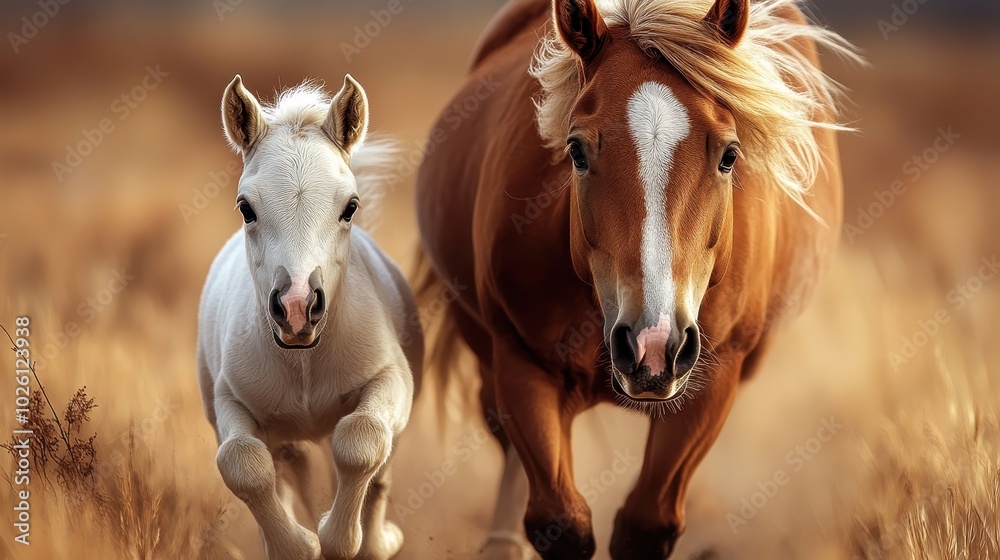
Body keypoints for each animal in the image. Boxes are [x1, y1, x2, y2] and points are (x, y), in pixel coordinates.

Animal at [197, 74, 422, 560]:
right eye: (246, 207)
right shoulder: (230, 399)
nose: (297, 308)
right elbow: (242, 463)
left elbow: (362, 441)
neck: (304, 362)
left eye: (350, 206)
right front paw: (298, 544)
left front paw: (346, 539)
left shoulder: (391, 379)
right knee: (288, 467)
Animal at [413, 0, 858, 557]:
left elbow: (645, 526)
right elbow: (561, 522)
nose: (652, 345)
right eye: (576, 151)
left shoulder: (714, 377)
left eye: (729, 155)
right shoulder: (520, 361)